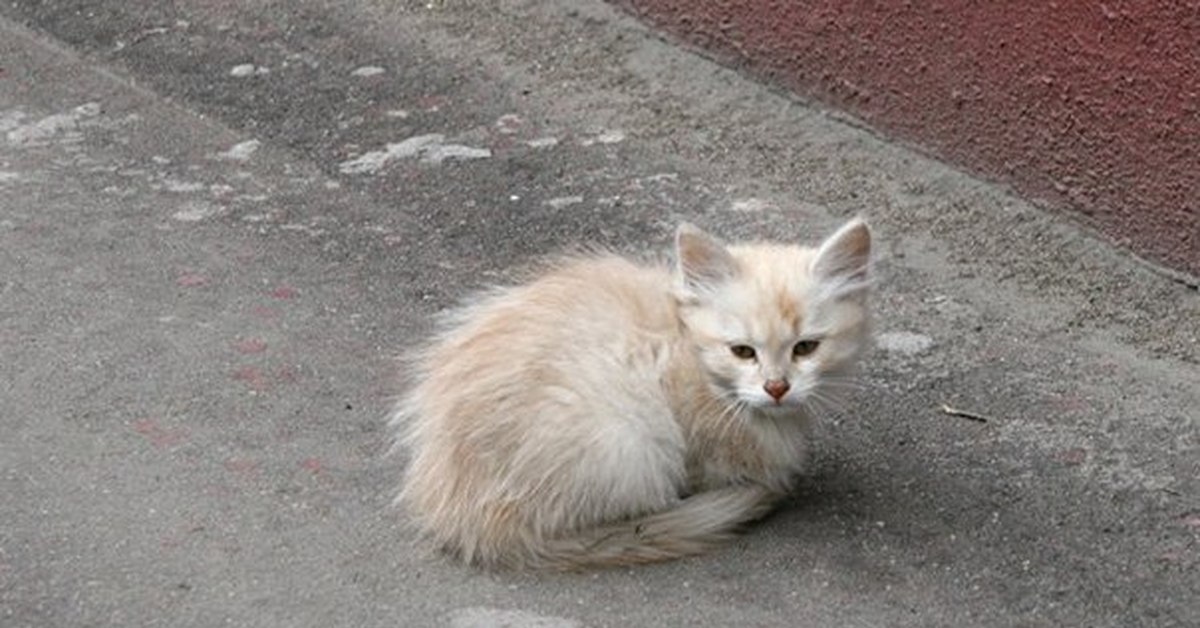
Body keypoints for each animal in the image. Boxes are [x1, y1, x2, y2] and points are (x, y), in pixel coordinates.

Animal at [393, 219, 873, 569]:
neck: (686, 344)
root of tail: (468, 519)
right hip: (628, 438)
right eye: (742, 351)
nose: (776, 387)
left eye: (806, 348)